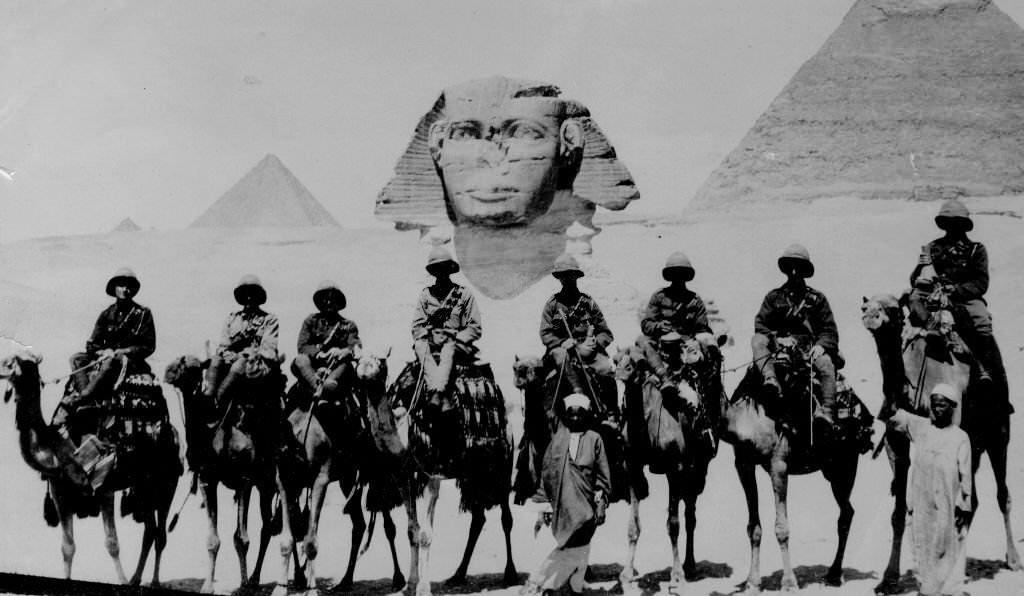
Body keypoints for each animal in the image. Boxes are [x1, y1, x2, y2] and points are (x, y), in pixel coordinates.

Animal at [0, 352, 180, 585]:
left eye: (19, 361)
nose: (1, 366)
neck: (59, 446)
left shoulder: (104, 484)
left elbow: (112, 543)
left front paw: (122, 581)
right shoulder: (60, 489)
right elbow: (67, 547)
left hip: (167, 481)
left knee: (160, 534)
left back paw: (153, 582)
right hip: (143, 485)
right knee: (150, 530)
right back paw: (136, 579)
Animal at [164, 358, 284, 593]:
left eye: (193, 366)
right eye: (179, 361)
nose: (169, 372)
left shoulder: (244, 480)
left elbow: (241, 538)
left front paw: (243, 585)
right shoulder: (207, 479)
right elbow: (213, 540)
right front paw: (208, 586)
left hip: (267, 483)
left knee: (271, 526)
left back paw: (258, 579)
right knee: (267, 527)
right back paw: (255, 578)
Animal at [274, 352, 405, 596]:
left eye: (380, 364)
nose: (366, 372)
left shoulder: (320, 479)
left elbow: (310, 541)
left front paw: (311, 589)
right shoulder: (286, 481)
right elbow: (288, 539)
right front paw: (281, 589)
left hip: (363, 473)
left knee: (383, 525)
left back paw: (398, 578)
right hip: (346, 477)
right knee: (360, 524)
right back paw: (345, 580)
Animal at [368, 360, 516, 596]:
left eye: (380, 364)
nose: (367, 374)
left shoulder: (433, 473)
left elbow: (426, 534)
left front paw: (424, 588)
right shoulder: (404, 476)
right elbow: (412, 530)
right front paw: (410, 585)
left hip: (501, 466)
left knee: (506, 517)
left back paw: (510, 574)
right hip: (472, 474)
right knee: (478, 518)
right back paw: (457, 575)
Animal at [860, 292, 1019, 593]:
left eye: (893, 308)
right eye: (864, 305)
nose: (871, 316)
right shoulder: (896, 440)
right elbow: (899, 512)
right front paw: (889, 579)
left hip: (998, 431)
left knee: (1001, 493)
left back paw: (1013, 559)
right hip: (976, 443)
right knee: (971, 502)